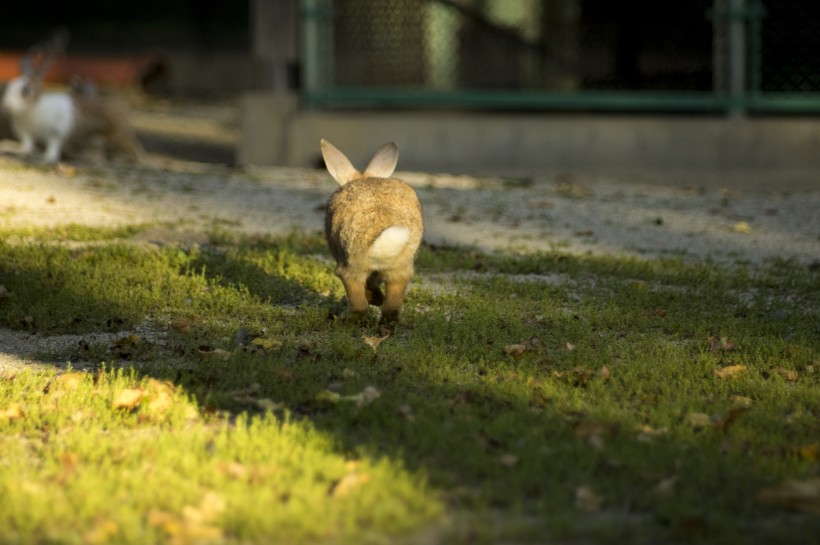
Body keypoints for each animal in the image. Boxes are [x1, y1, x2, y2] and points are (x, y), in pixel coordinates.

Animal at [0, 30, 143, 163]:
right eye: (9, 86)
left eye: (26, 91)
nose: (7, 106)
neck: (32, 110)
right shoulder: (26, 134)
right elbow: (27, 144)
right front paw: (21, 150)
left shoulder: (57, 133)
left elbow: (53, 146)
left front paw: (48, 158)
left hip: (111, 137)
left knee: (127, 151)